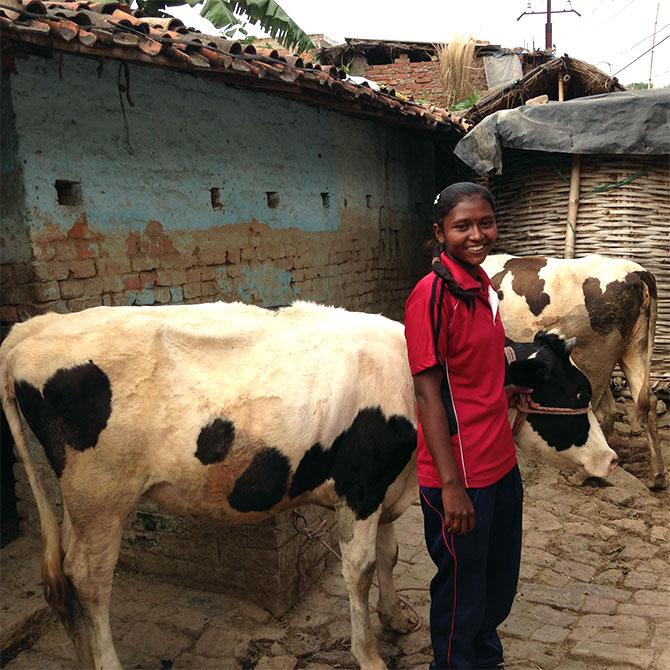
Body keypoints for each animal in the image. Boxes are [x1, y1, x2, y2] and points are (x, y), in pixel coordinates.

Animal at [0, 302, 620, 668]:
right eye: (578, 394)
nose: (612, 458)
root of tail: (30, 330)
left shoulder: (387, 490)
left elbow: (392, 555)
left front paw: (396, 618)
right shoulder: (362, 488)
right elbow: (361, 569)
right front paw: (370, 654)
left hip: (82, 499)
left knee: (66, 578)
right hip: (99, 495)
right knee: (89, 579)